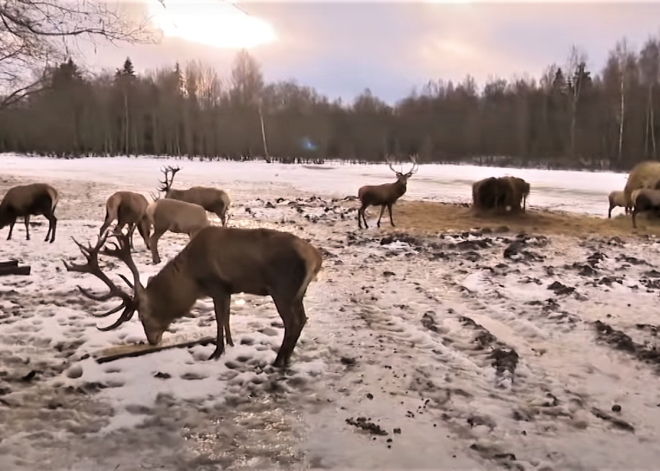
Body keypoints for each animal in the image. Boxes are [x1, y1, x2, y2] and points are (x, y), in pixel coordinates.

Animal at [63, 227, 324, 366]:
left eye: (143, 317)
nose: (152, 341)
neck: (192, 280)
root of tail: (316, 257)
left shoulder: (216, 286)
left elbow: (219, 320)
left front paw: (216, 353)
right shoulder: (227, 290)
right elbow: (226, 320)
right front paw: (230, 345)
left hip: (283, 289)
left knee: (293, 322)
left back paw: (279, 360)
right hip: (297, 293)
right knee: (302, 319)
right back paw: (286, 358)